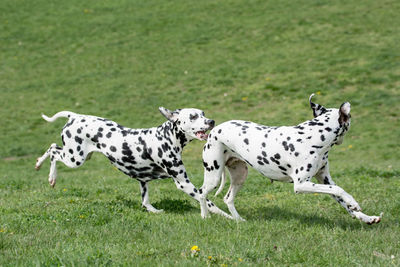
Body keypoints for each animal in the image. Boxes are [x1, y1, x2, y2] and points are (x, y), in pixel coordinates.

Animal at [36, 108, 231, 219]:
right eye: (193, 116)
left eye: (203, 114)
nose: (211, 121)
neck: (166, 137)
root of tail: (75, 116)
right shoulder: (183, 183)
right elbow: (208, 202)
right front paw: (229, 217)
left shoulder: (143, 181)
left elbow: (145, 202)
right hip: (74, 158)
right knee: (53, 151)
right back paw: (49, 174)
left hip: (78, 156)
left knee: (53, 147)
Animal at [198, 95, 382, 225]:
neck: (314, 136)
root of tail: (215, 129)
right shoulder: (301, 184)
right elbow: (340, 190)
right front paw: (353, 202)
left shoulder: (325, 179)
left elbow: (342, 197)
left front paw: (365, 216)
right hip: (214, 175)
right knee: (201, 194)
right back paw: (205, 216)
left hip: (240, 176)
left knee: (228, 198)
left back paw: (238, 220)